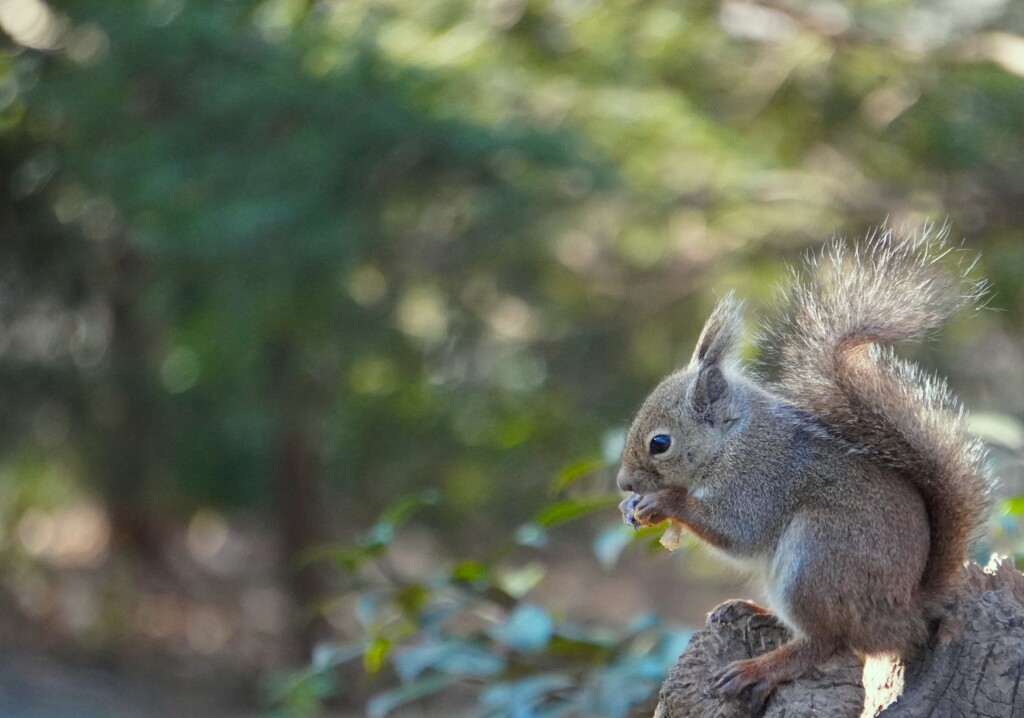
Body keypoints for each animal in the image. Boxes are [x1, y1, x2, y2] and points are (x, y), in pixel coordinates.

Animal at [614, 226, 991, 708]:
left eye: (659, 443)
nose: (623, 484)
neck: (731, 441)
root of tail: (906, 614)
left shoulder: (759, 479)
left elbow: (738, 531)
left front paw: (662, 502)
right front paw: (632, 509)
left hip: (816, 560)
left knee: (825, 642)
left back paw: (758, 668)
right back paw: (750, 610)